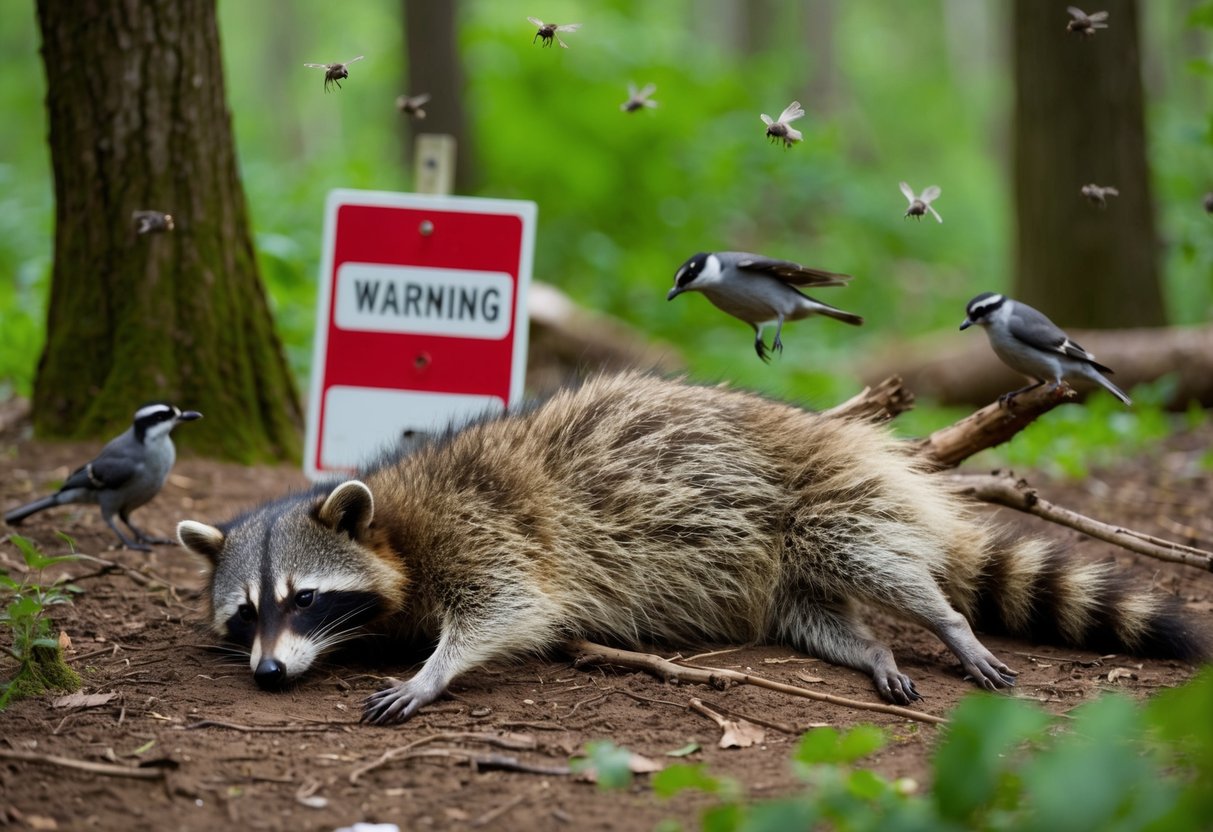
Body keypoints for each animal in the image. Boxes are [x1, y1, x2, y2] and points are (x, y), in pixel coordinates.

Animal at [178, 373, 1206, 725]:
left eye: (303, 598)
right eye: (247, 614)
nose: (268, 674)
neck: (390, 520)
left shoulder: (481, 527)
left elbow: (511, 606)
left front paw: (434, 670)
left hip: (824, 505)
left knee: (889, 570)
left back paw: (944, 623)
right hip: (781, 572)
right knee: (819, 615)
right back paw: (867, 647)